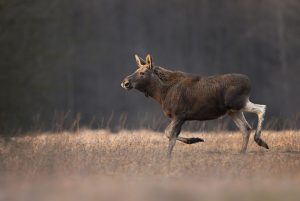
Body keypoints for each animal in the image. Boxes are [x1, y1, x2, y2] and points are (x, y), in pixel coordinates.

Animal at [120, 54, 268, 157]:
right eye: (136, 70)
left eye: (142, 73)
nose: (125, 82)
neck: (161, 94)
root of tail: (249, 82)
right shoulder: (180, 117)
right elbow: (172, 135)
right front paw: (194, 140)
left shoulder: (179, 114)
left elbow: (169, 134)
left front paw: (172, 153)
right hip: (233, 110)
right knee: (246, 128)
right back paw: (242, 152)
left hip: (238, 103)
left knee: (261, 109)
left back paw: (260, 141)